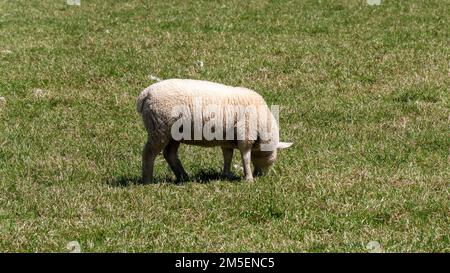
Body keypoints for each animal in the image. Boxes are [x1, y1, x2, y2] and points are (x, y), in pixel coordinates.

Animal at [136, 78, 292, 183]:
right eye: (272, 157)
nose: (260, 176)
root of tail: (145, 94)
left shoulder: (228, 139)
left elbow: (228, 156)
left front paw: (226, 175)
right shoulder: (245, 133)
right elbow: (246, 157)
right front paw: (248, 179)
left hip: (173, 133)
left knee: (170, 154)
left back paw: (183, 177)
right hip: (159, 128)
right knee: (149, 153)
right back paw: (147, 181)